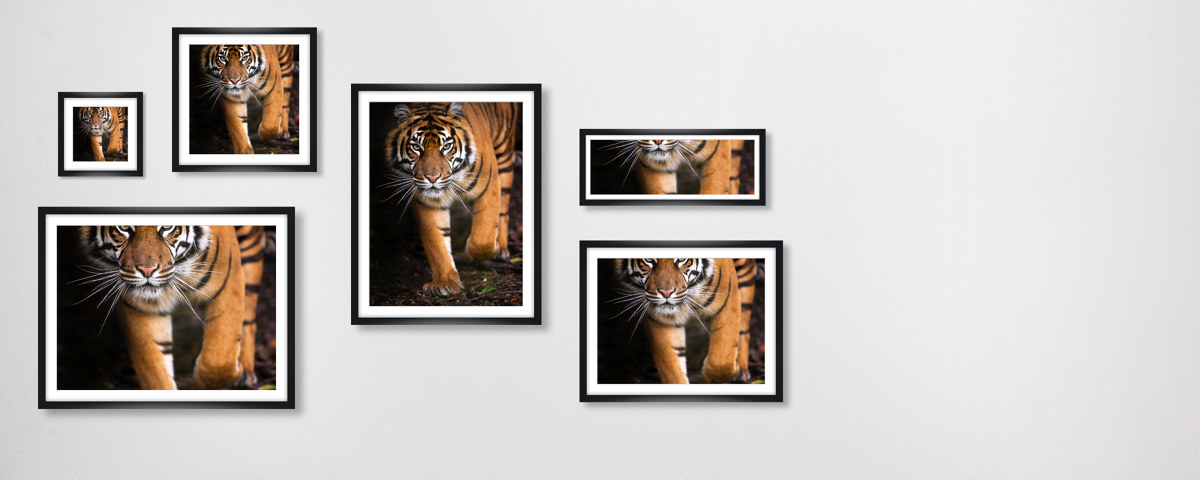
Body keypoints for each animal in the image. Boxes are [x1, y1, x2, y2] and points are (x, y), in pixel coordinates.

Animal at [77, 225, 266, 390]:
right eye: (123, 227)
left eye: (167, 227)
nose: (147, 270)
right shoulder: (142, 307)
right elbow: (155, 371)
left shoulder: (228, 278)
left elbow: (218, 359)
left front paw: (215, 378)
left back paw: (246, 373)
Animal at [381, 102, 519, 296]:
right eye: (416, 147)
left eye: (446, 146)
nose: (432, 178)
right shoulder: (428, 202)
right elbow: (437, 244)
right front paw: (444, 283)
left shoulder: (489, 184)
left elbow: (482, 238)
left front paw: (480, 252)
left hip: (504, 153)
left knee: (504, 210)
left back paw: (501, 248)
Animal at [612, 257, 758, 384]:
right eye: (648, 260)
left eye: (682, 259)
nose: (666, 293)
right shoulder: (662, 320)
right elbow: (672, 370)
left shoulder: (728, 298)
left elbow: (721, 360)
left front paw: (713, 377)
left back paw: (742, 371)